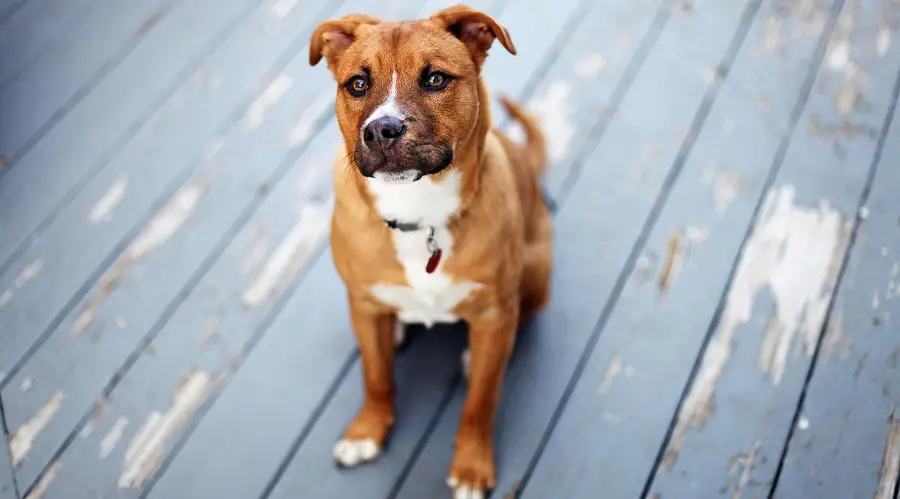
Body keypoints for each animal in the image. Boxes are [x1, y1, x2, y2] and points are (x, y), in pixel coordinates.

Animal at [308, 5, 548, 498]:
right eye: (357, 84)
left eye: (436, 79)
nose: (381, 130)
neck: (418, 212)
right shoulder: (362, 303)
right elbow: (376, 378)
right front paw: (367, 431)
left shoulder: (494, 311)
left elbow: (480, 402)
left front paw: (472, 465)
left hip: (535, 269)